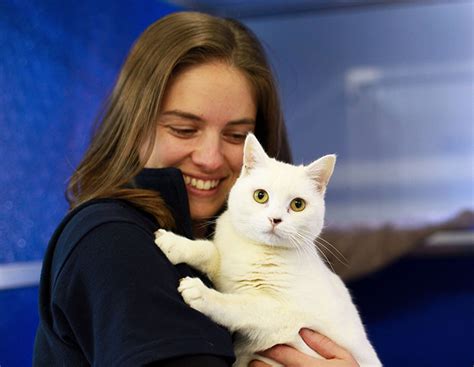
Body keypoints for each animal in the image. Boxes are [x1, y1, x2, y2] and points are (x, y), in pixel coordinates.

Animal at [155, 134, 382, 367]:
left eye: (298, 204)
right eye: (260, 196)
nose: (275, 219)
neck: (257, 251)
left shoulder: (287, 320)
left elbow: (242, 305)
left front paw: (203, 294)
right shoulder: (225, 270)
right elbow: (209, 251)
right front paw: (176, 244)